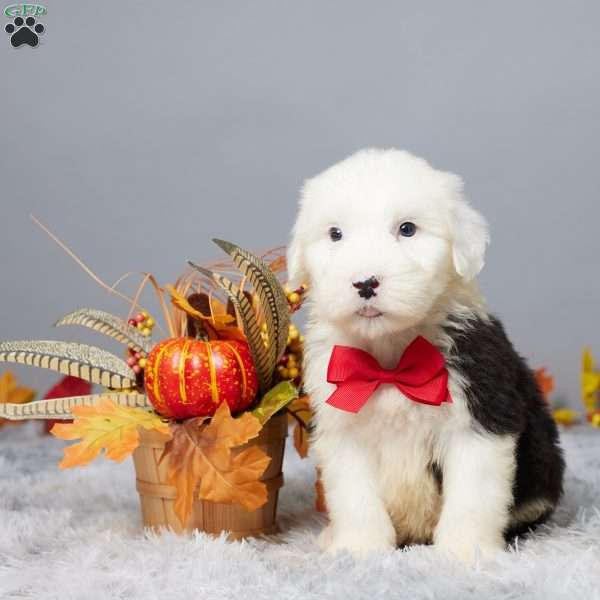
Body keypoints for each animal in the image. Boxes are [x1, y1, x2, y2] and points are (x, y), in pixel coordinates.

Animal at [288, 149, 564, 564]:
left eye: (407, 229)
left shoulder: (478, 418)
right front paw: (358, 547)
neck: (391, 359)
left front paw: (465, 551)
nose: (365, 282)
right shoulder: (344, 429)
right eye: (335, 234)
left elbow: (471, 495)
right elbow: (355, 496)